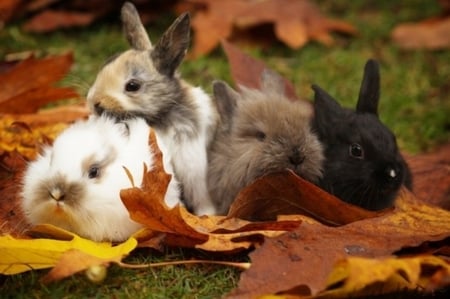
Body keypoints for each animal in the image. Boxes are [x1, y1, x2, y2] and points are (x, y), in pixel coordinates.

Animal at [86, 2, 220, 218]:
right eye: (105, 65)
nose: (94, 103)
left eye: (132, 86)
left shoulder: (194, 170)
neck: (161, 116)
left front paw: (206, 216)